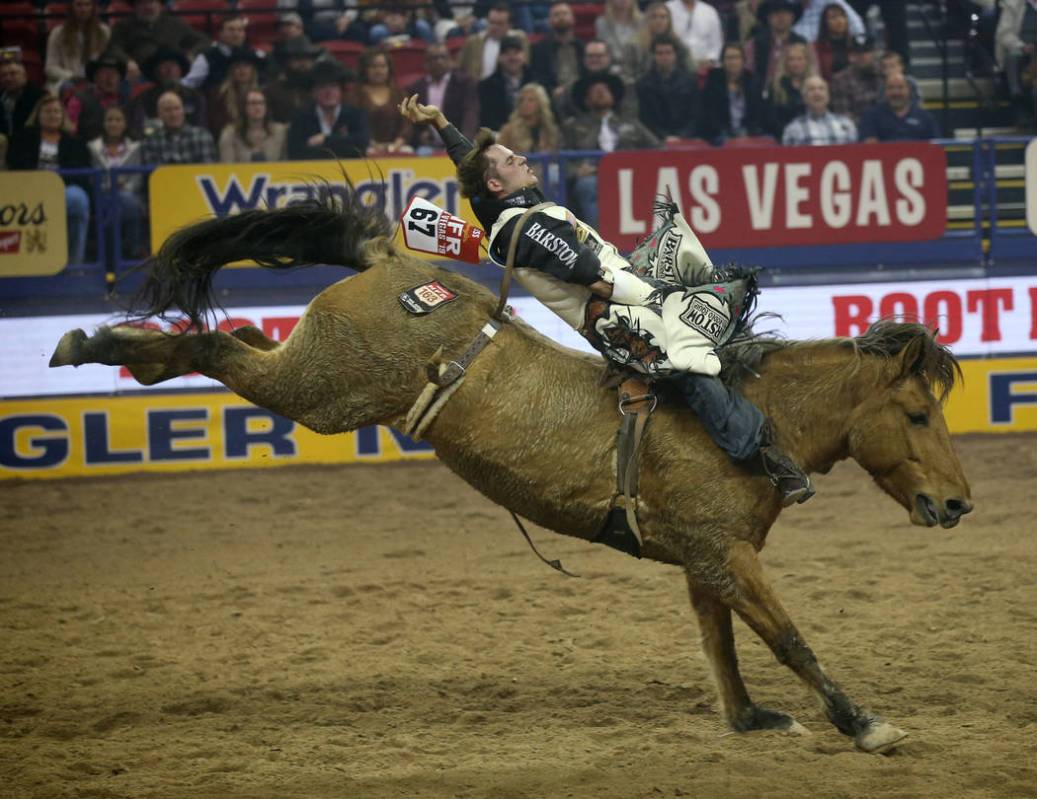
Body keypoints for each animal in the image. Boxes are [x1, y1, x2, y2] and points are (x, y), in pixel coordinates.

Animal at [48, 193, 970, 755]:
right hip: (320, 390)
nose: (959, 502)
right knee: (219, 347)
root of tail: (393, 260)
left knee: (227, 341)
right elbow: (786, 636)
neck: (746, 416)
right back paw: (95, 342)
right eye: (917, 415)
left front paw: (749, 718)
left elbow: (722, 646)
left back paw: (111, 346)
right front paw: (863, 721)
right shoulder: (728, 555)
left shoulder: (706, 559)